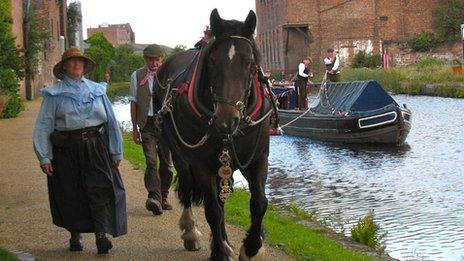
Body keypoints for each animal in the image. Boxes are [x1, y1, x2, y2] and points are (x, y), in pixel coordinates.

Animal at [154, 8, 276, 260]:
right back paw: (191, 231)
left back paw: (225, 240)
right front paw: (219, 252)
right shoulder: (202, 165)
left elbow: (259, 203)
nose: (225, 122)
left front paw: (251, 247)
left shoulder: (258, 159)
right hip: (177, 152)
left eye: (249, 62)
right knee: (188, 187)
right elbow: (212, 210)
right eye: (212, 60)